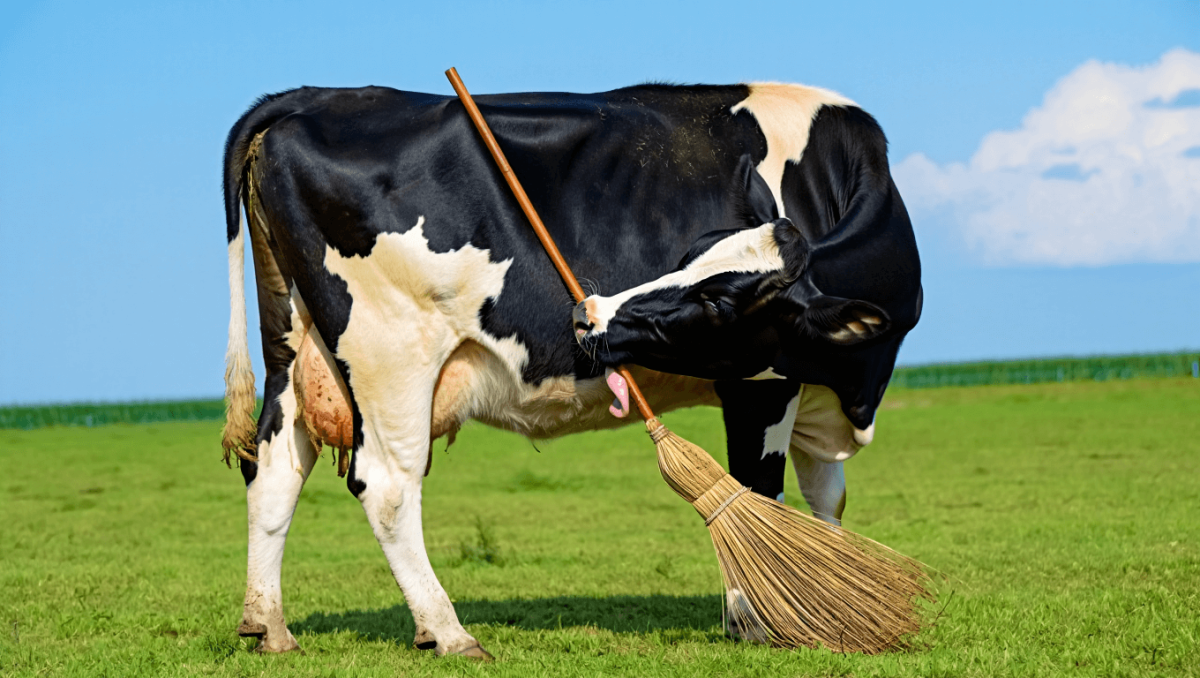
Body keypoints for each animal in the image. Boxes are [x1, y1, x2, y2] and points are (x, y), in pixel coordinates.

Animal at [220, 82, 921, 658]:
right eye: (695, 267)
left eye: (717, 296)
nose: (589, 313)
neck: (855, 387)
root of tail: (313, 97)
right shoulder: (763, 383)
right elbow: (758, 492)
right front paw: (757, 619)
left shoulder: (815, 388)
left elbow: (825, 499)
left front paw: (830, 598)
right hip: (390, 352)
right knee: (387, 485)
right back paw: (448, 632)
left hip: (293, 347)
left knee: (274, 470)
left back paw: (270, 626)